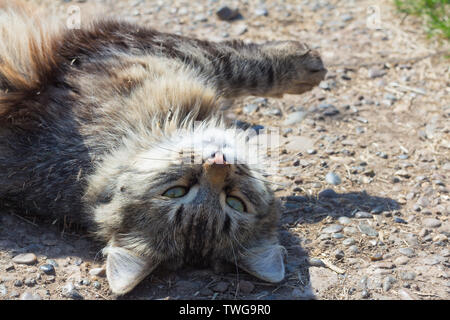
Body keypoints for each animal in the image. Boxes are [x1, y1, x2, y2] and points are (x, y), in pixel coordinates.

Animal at [0, 1, 326, 296]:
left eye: (234, 202)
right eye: (175, 192)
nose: (219, 162)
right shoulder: (136, 44)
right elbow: (240, 63)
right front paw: (304, 64)